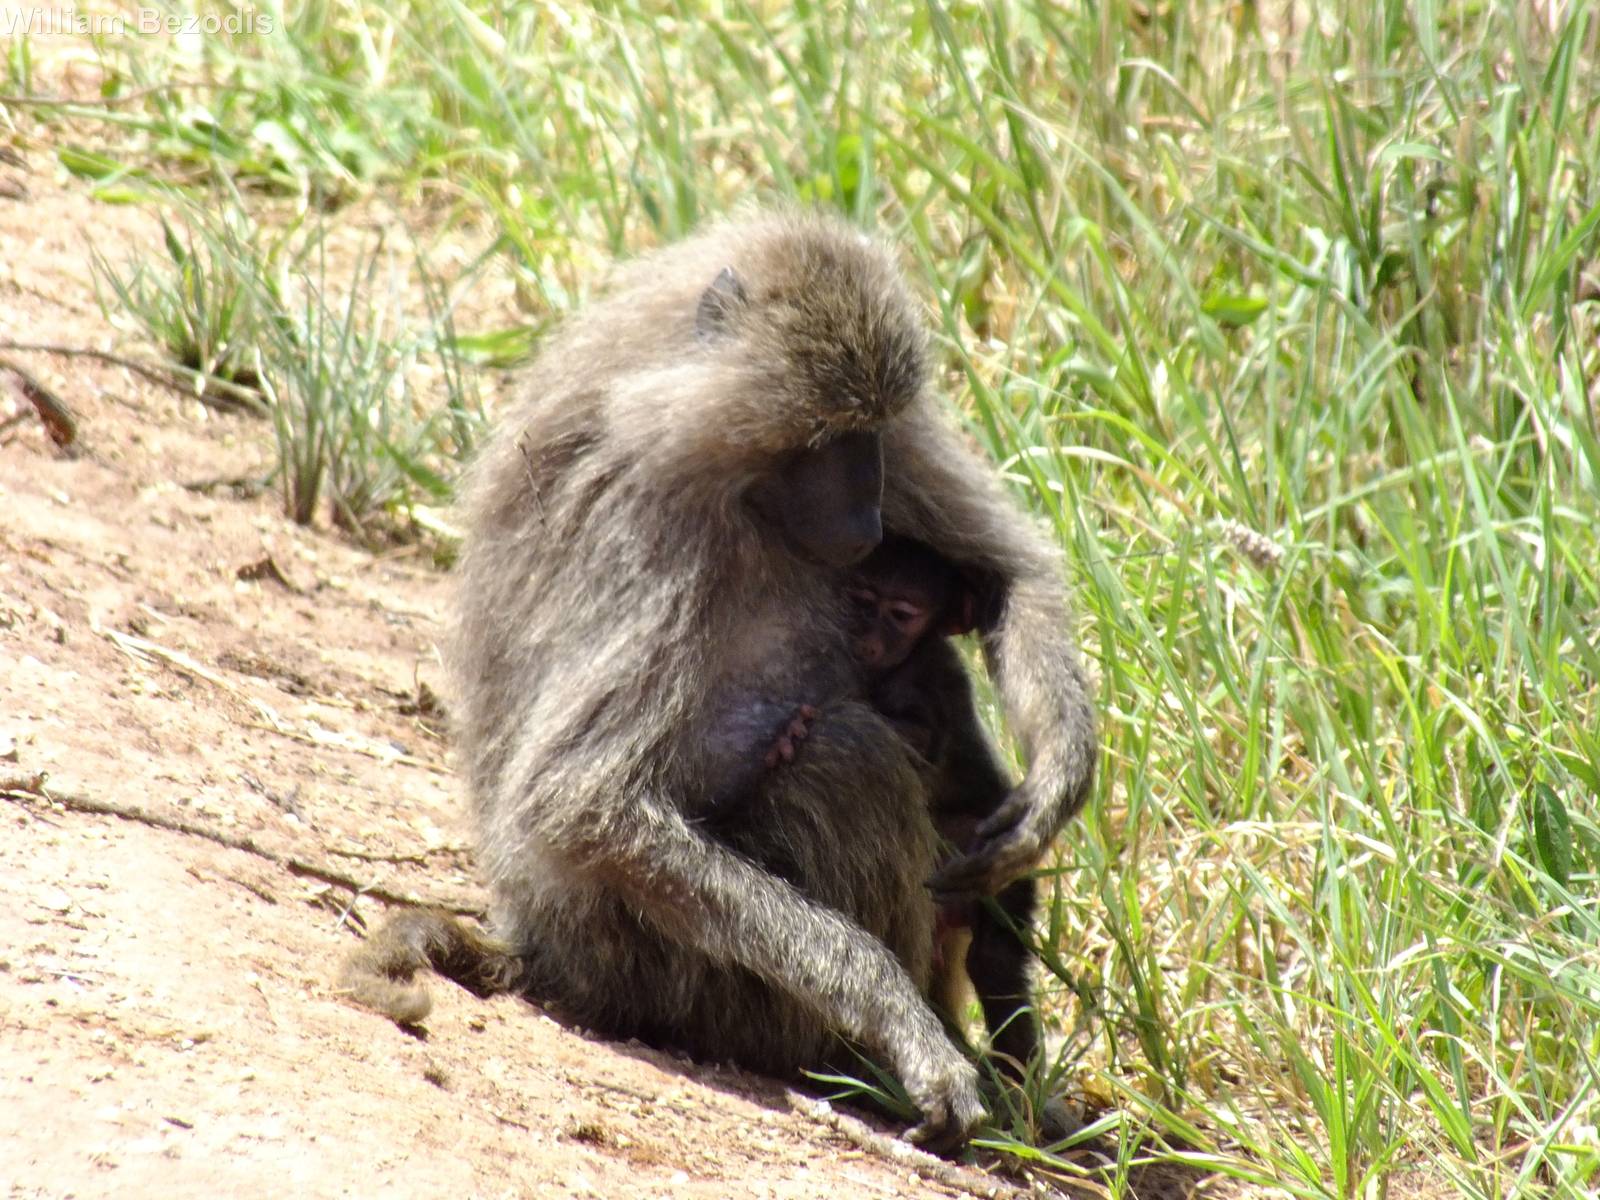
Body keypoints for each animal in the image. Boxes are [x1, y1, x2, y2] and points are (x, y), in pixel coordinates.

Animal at [339, 213, 1097, 1152]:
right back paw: (885, 1059)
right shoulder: (646, 522)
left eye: (876, 430)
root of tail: (547, 950)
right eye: (827, 437)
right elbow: (582, 808)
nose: (867, 520)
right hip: (679, 975)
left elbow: (1010, 573)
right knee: (844, 755)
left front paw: (1055, 785)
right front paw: (897, 1018)